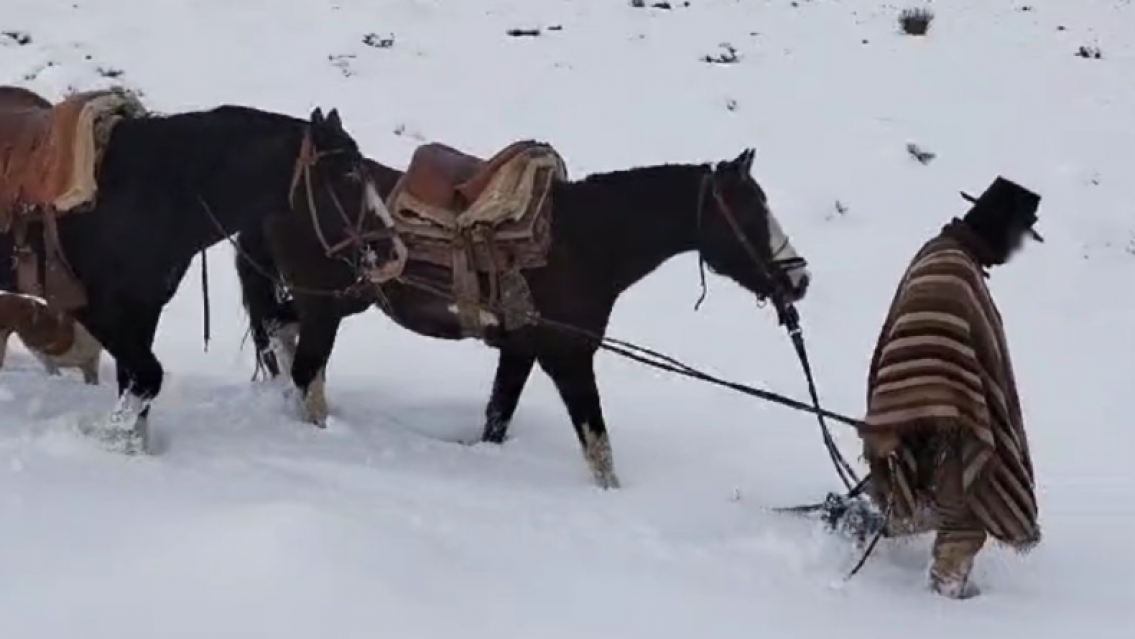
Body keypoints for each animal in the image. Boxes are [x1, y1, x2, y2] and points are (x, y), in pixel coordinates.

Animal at [0, 90, 395, 454]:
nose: (391, 250)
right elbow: (148, 376)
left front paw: (131, 447)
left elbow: (136, 383)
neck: (144, 190)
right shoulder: (96, 309)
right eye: (348, 174)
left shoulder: (143, 310)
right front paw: (111, 437)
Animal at [236, 148, 812, 488]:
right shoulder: (569, 357)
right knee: (306, 369)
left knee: (284, 337)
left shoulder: (520, 351)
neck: (583, 240)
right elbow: (598, 447)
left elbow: (497, 418)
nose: (799, 279)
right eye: (749, 211)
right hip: (327, 306)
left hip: (328, 302)